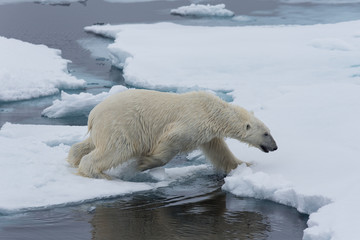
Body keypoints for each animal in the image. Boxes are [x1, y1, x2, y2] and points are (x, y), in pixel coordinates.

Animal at [67, 89, 278, 178]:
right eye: (266, 134)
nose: (275, 147)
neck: (212, 111)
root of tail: (93, 114)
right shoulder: (192, 122)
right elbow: (170, 141)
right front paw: (144, 163)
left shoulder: (208, 134)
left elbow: (220, 152)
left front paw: (246, 164)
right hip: (122, 124)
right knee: (117, 148)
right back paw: (100, 174)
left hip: (105, 127)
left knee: (90, 144)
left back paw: (73, 159)